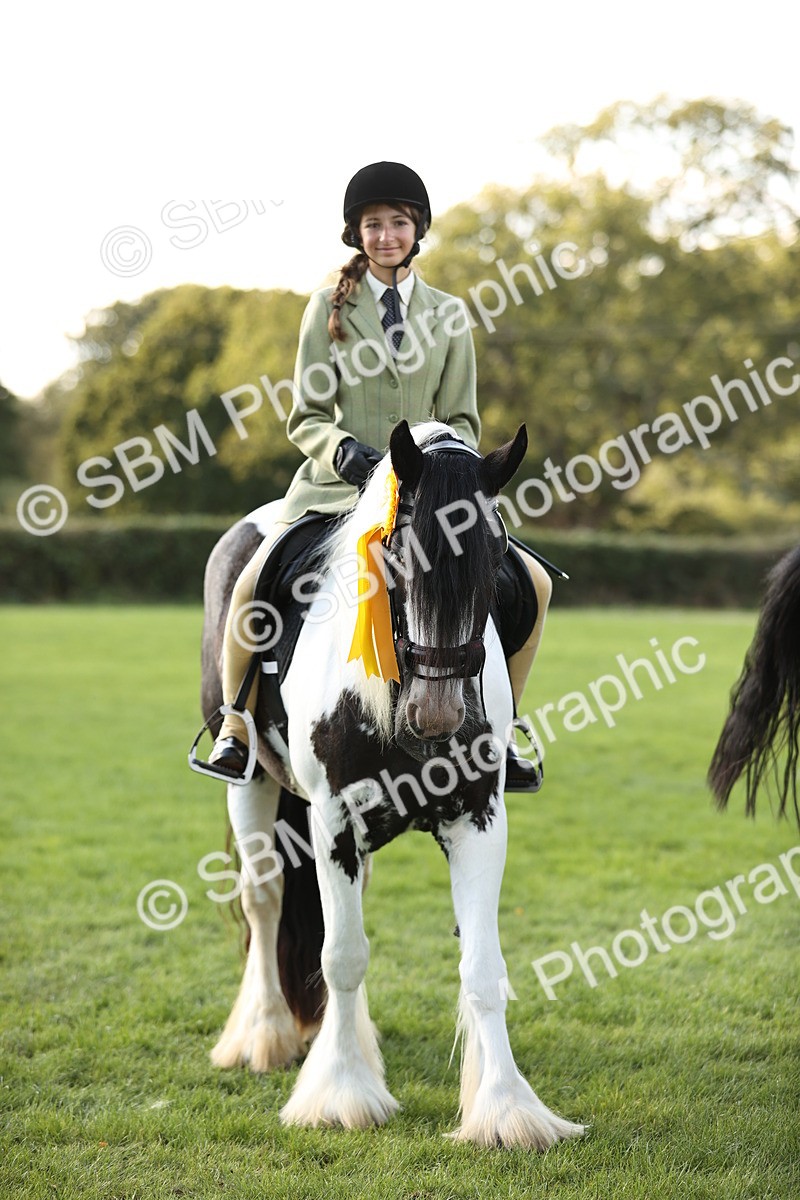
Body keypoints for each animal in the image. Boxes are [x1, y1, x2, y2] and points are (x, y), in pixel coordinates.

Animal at [196, 418, 585, 1149]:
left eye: (496, 555)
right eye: (398, 553)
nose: (436, 714)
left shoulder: (479, 817)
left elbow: (482, 966)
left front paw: (505, 1108)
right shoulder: (332, 820)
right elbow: (343, 953)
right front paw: (341, 1095)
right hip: (251, 785)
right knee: (264, 902)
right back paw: (264, 1036)